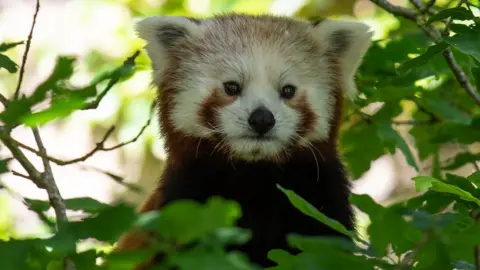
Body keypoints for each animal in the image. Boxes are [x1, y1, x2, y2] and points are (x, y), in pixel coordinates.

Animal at [113, 12, 376, 268]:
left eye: (288, 90)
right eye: (232, 87)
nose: (262, 119)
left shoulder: (323, 204)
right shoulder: (184, 207)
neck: (254, 178)